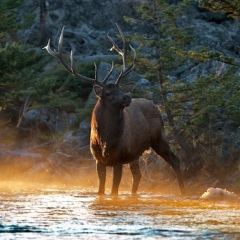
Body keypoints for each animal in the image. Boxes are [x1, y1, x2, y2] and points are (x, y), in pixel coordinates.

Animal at [43, 23, 186, 195]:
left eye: (120, 89)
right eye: (108, 93)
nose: (127, 97)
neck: (105, 139)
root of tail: (155, 106)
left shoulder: (119, 158)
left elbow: (114, 191)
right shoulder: (98, 160)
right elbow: (101, 190)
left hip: (159, 137)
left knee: (176, 161)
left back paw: (184, 192)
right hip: (135, 153)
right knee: (138, 175)